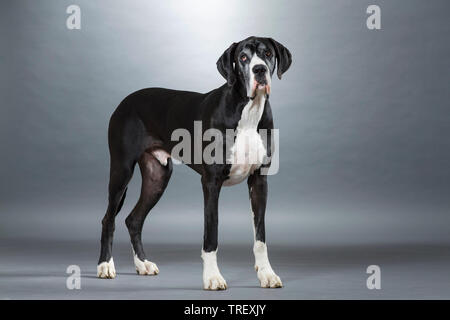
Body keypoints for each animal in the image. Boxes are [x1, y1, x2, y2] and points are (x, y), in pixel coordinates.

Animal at [96, 35, 292, 290]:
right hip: (121, 170)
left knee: (133, 220)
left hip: (157, 177)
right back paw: (105, 265)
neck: (248, 111)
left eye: (267, 53)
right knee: (108, 219)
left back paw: (143, 264)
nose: (259, 70)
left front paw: (267, 274)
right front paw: (212, 277)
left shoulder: (259, 181)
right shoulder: (211, 182)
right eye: (243, 57)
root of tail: (125, 101)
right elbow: (211, 233)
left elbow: (260, 236)